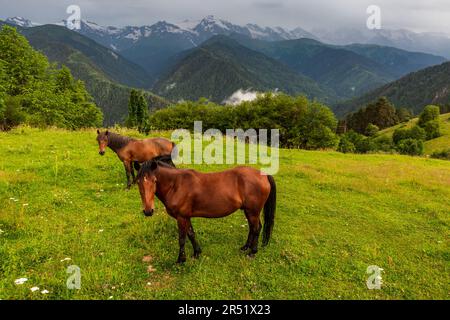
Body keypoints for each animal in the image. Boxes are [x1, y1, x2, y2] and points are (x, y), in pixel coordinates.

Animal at [135, 161, 276, 264]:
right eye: (138, 182)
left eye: (154, 180)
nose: (148, 211)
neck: (176, 185)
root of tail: (263, 175)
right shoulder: (186, 217)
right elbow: (191, 234)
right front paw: (197, 253)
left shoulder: (181, 217)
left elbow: (182, 239)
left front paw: (181, 260)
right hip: (249, 211)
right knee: (252, 228)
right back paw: (245, 247)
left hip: (253, 211)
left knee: (256, 228)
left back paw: (252, 252)